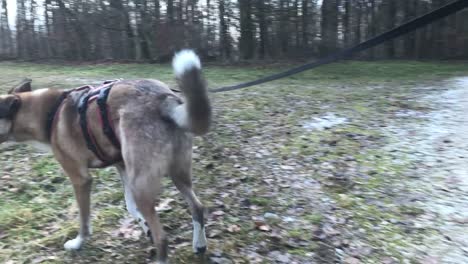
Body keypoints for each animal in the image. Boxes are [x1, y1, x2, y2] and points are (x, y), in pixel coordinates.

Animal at [0, 49, 210, 262]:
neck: (49, 114)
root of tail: (163, 98)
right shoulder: (122, 166)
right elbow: (130, 206)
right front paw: (144, 227)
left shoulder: (81, 179)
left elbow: (84, 220)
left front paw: (78, 243)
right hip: (176, 173)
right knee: (197, 207)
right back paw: (199, 245)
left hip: (142, 184)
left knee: (163, 237)